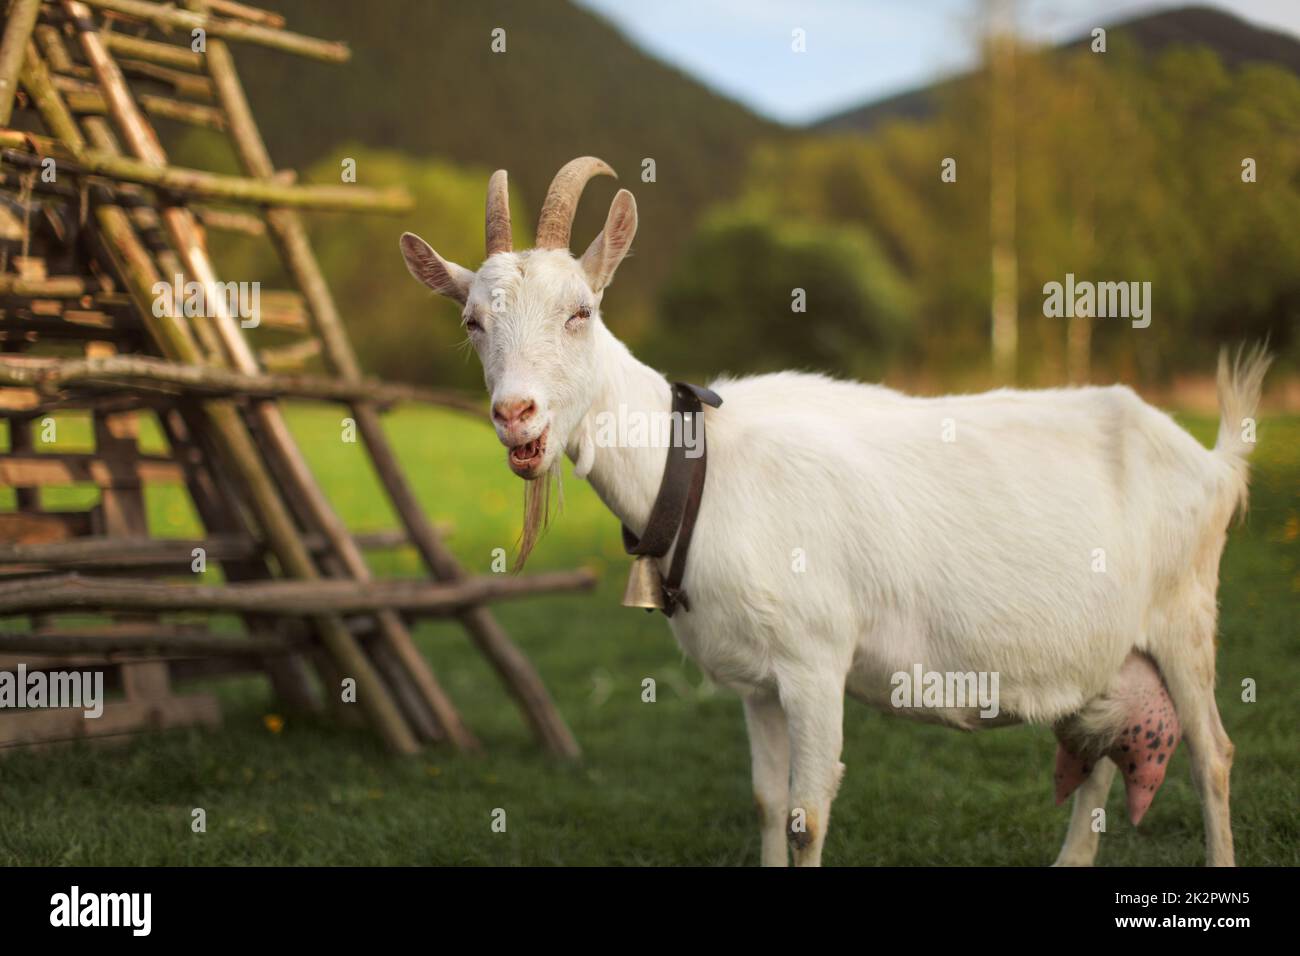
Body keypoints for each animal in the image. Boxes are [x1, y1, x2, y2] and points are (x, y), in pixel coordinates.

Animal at [403, 157, 1268, 868]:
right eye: (472, 321)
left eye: (581, 311)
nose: (517, 416)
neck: (702, 468)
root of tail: (1213, 461)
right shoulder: (755, 682)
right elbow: (764, 804)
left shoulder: (815, 661)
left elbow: (806, 816)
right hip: (1109, 656)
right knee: (1099, 761)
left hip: (1185, 616)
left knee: (1214, 755)